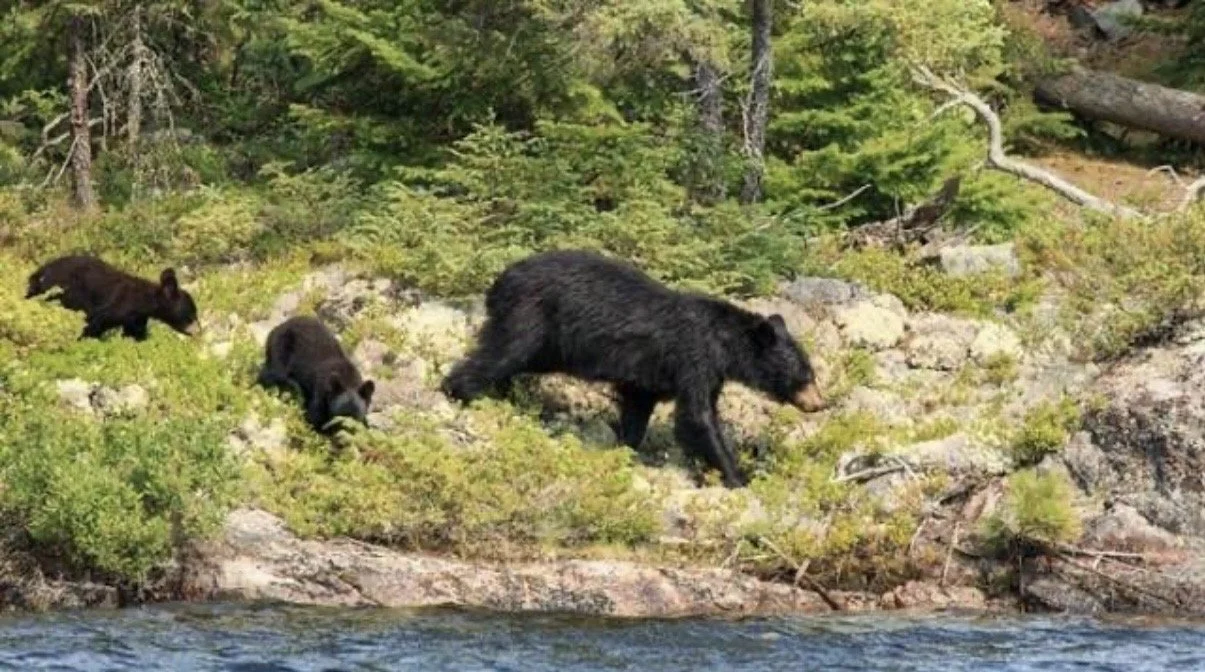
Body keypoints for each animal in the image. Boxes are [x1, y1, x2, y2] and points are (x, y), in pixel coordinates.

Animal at [25, 254, 200, 341]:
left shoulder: (135, 318)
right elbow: (93, 325)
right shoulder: (112, 307)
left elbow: (135, 333)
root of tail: (39, 272)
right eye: (191, 315)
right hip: (57, 292)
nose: (198, 331)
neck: (141, 301)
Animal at [440, 249, 827, 488]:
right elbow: (696, 418)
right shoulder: (693, 358)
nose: (820, 403)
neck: (724, 344)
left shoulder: (666, 375)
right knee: (503, 352)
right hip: (532, 317)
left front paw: (626, 445)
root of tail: (498, 281)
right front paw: (737, 476)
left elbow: (639, 406)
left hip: (549, 344)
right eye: (806, 374)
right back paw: (461, 391)